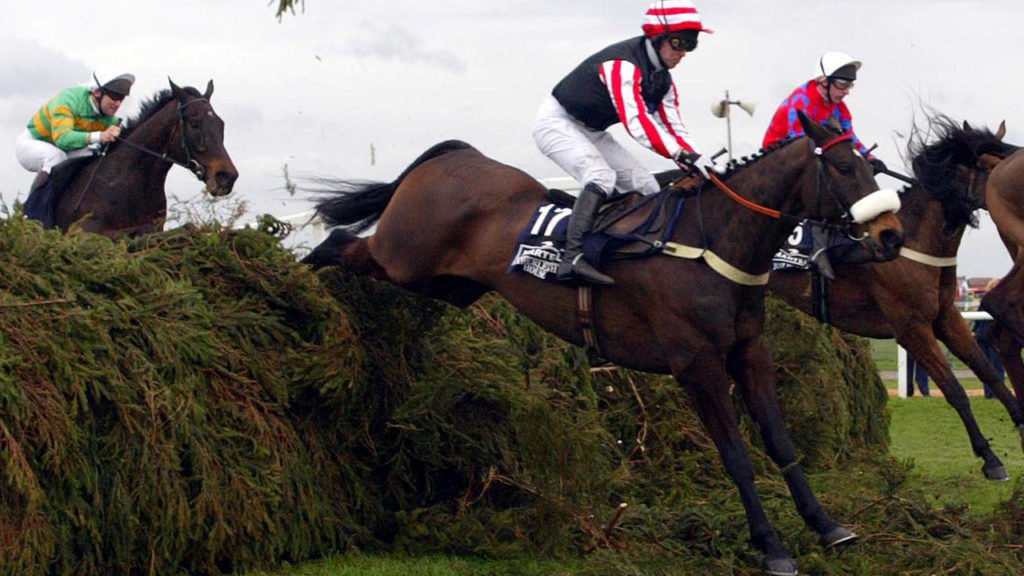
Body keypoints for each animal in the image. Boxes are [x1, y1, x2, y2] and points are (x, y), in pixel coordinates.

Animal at [42, 78, 237, 235]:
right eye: (194, 123)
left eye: (221, 124)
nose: (228, 176)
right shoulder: (82, 231)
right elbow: (143, 229)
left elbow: (188, 227)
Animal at [301, 112, 905, 573]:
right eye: (845, 167)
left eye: (871, 165)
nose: (891, 235)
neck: (711, 242)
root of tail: (456, 157)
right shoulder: (697, 363)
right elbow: (735, 454)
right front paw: (773, 547)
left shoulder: (749, 353)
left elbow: (780, 442)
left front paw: (828, 526)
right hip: (405, 258)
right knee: (339, 241)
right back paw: (301, 283)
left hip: (447, 285)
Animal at [770, 113, 1019, 475]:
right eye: (988, 164)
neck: (912, 242)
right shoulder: (911, 328)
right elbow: (955, 390)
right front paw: (990, 458)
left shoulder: (947, 317)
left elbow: (990, 373)